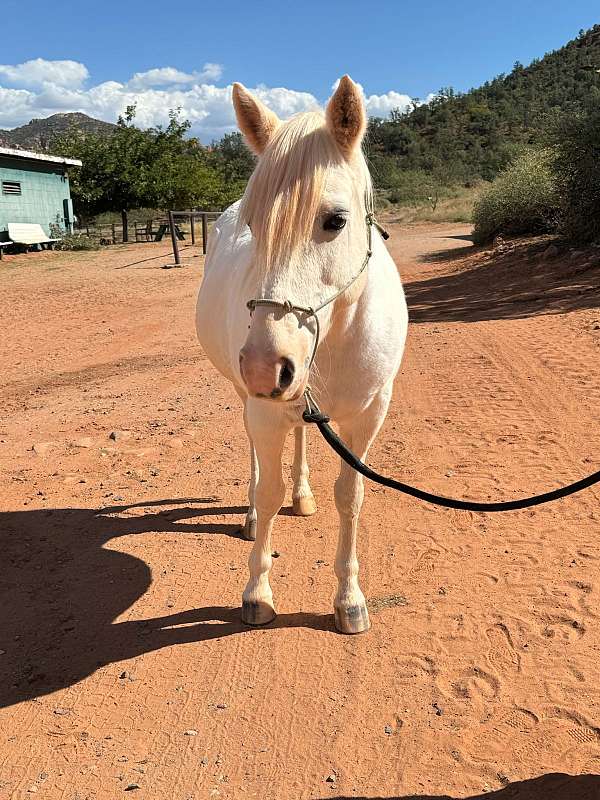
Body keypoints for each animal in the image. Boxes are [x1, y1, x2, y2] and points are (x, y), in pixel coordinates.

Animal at [197, 78, 408, 636]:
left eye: (335, 220)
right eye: (253, 224)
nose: (265, 367)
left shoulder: (368, 415)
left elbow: (351, 497)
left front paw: (350, 601)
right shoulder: (264, 408)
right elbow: (269, 490)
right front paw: (257, 593)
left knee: (303, 435)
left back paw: (304, 494)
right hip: (247, 398)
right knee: (257, 459)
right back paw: (253, 517)